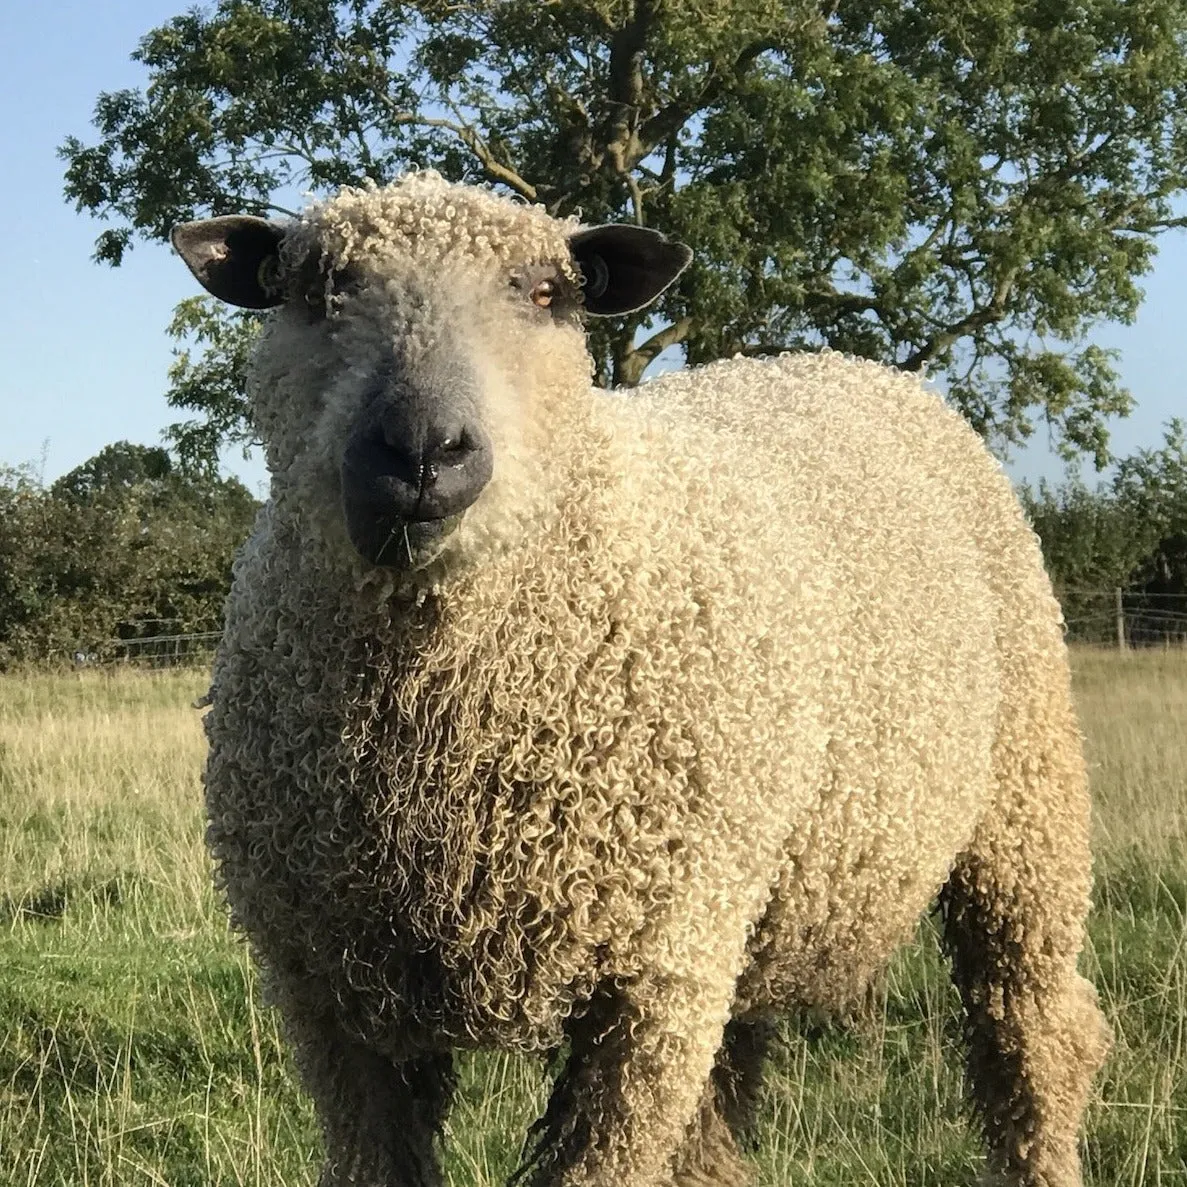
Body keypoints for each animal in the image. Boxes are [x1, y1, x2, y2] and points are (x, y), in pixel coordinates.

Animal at [175, 169, 1111, 1187]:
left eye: (546, 293)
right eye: (317, 291)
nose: (423, 449)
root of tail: (846, 364)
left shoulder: (653, 986)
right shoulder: (325, 994)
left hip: (1022, 803)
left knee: (1035, 1032)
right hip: (747, 908)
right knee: (721, 1110)